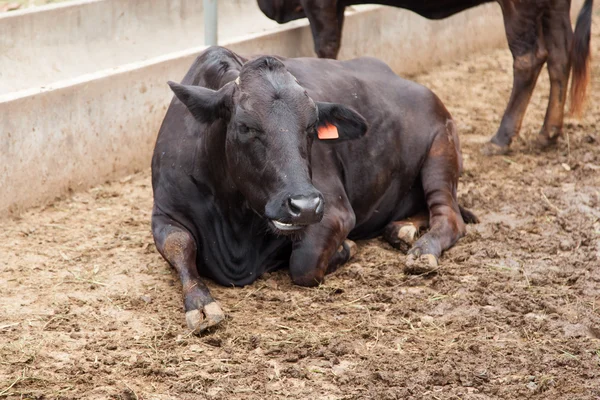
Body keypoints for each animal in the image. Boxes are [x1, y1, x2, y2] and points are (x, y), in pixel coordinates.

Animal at [151, 46, 478, 332]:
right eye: (245, 126)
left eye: (311, 126)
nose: (304, 205)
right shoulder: (164, 213)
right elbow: (180, 245)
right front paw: (201, 304)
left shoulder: (336, 211)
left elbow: (304, 264)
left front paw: (347, 247)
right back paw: (402, 228)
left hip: (440, 152)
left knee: (449, 216)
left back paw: (423, 250)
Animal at [258, 0, 596, 155]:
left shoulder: (322, 5)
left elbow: (326, 46)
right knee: (560, 54)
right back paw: (548, 132)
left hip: (520, 7)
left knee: (530, 57)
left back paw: (501, 138)